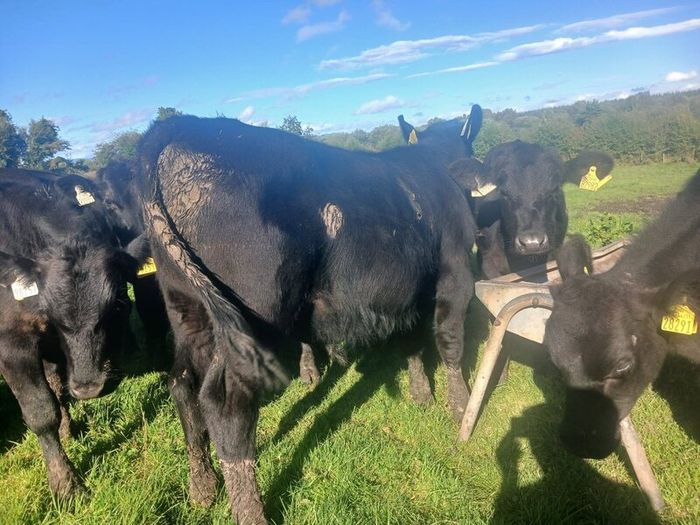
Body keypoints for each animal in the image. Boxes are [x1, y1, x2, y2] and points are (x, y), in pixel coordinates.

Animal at [0, 168, 146, 497]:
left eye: (117, 305)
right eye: (52, 314)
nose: (89, 388)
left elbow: (56, 390)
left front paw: (67, 430)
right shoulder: (11, 342)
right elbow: (41, 411)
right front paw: (66, 484)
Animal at [134, 113, 480, 523]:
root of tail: (178, 126)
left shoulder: (406, 291)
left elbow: (410, 341)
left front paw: (421, 394)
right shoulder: (457, 274)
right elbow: (451, 340)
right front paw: (461, 406)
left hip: (188, 307)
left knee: (182, 384)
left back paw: (202, 486)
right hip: (251, 317)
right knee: (227, 406)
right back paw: (252, 512)